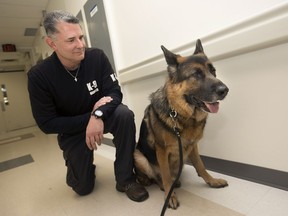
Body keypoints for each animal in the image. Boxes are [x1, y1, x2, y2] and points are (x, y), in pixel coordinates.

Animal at [133, 39, 230, 209]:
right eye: (196, 74)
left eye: (213, 71)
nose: (224, 90)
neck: (180, 115)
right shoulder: (161, 151)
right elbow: (165, 175)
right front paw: (169, 196)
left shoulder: (192, 146)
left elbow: (201, 166)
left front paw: (212, 181)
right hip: (138, 156)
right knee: (156, 178)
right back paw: (164, 186)